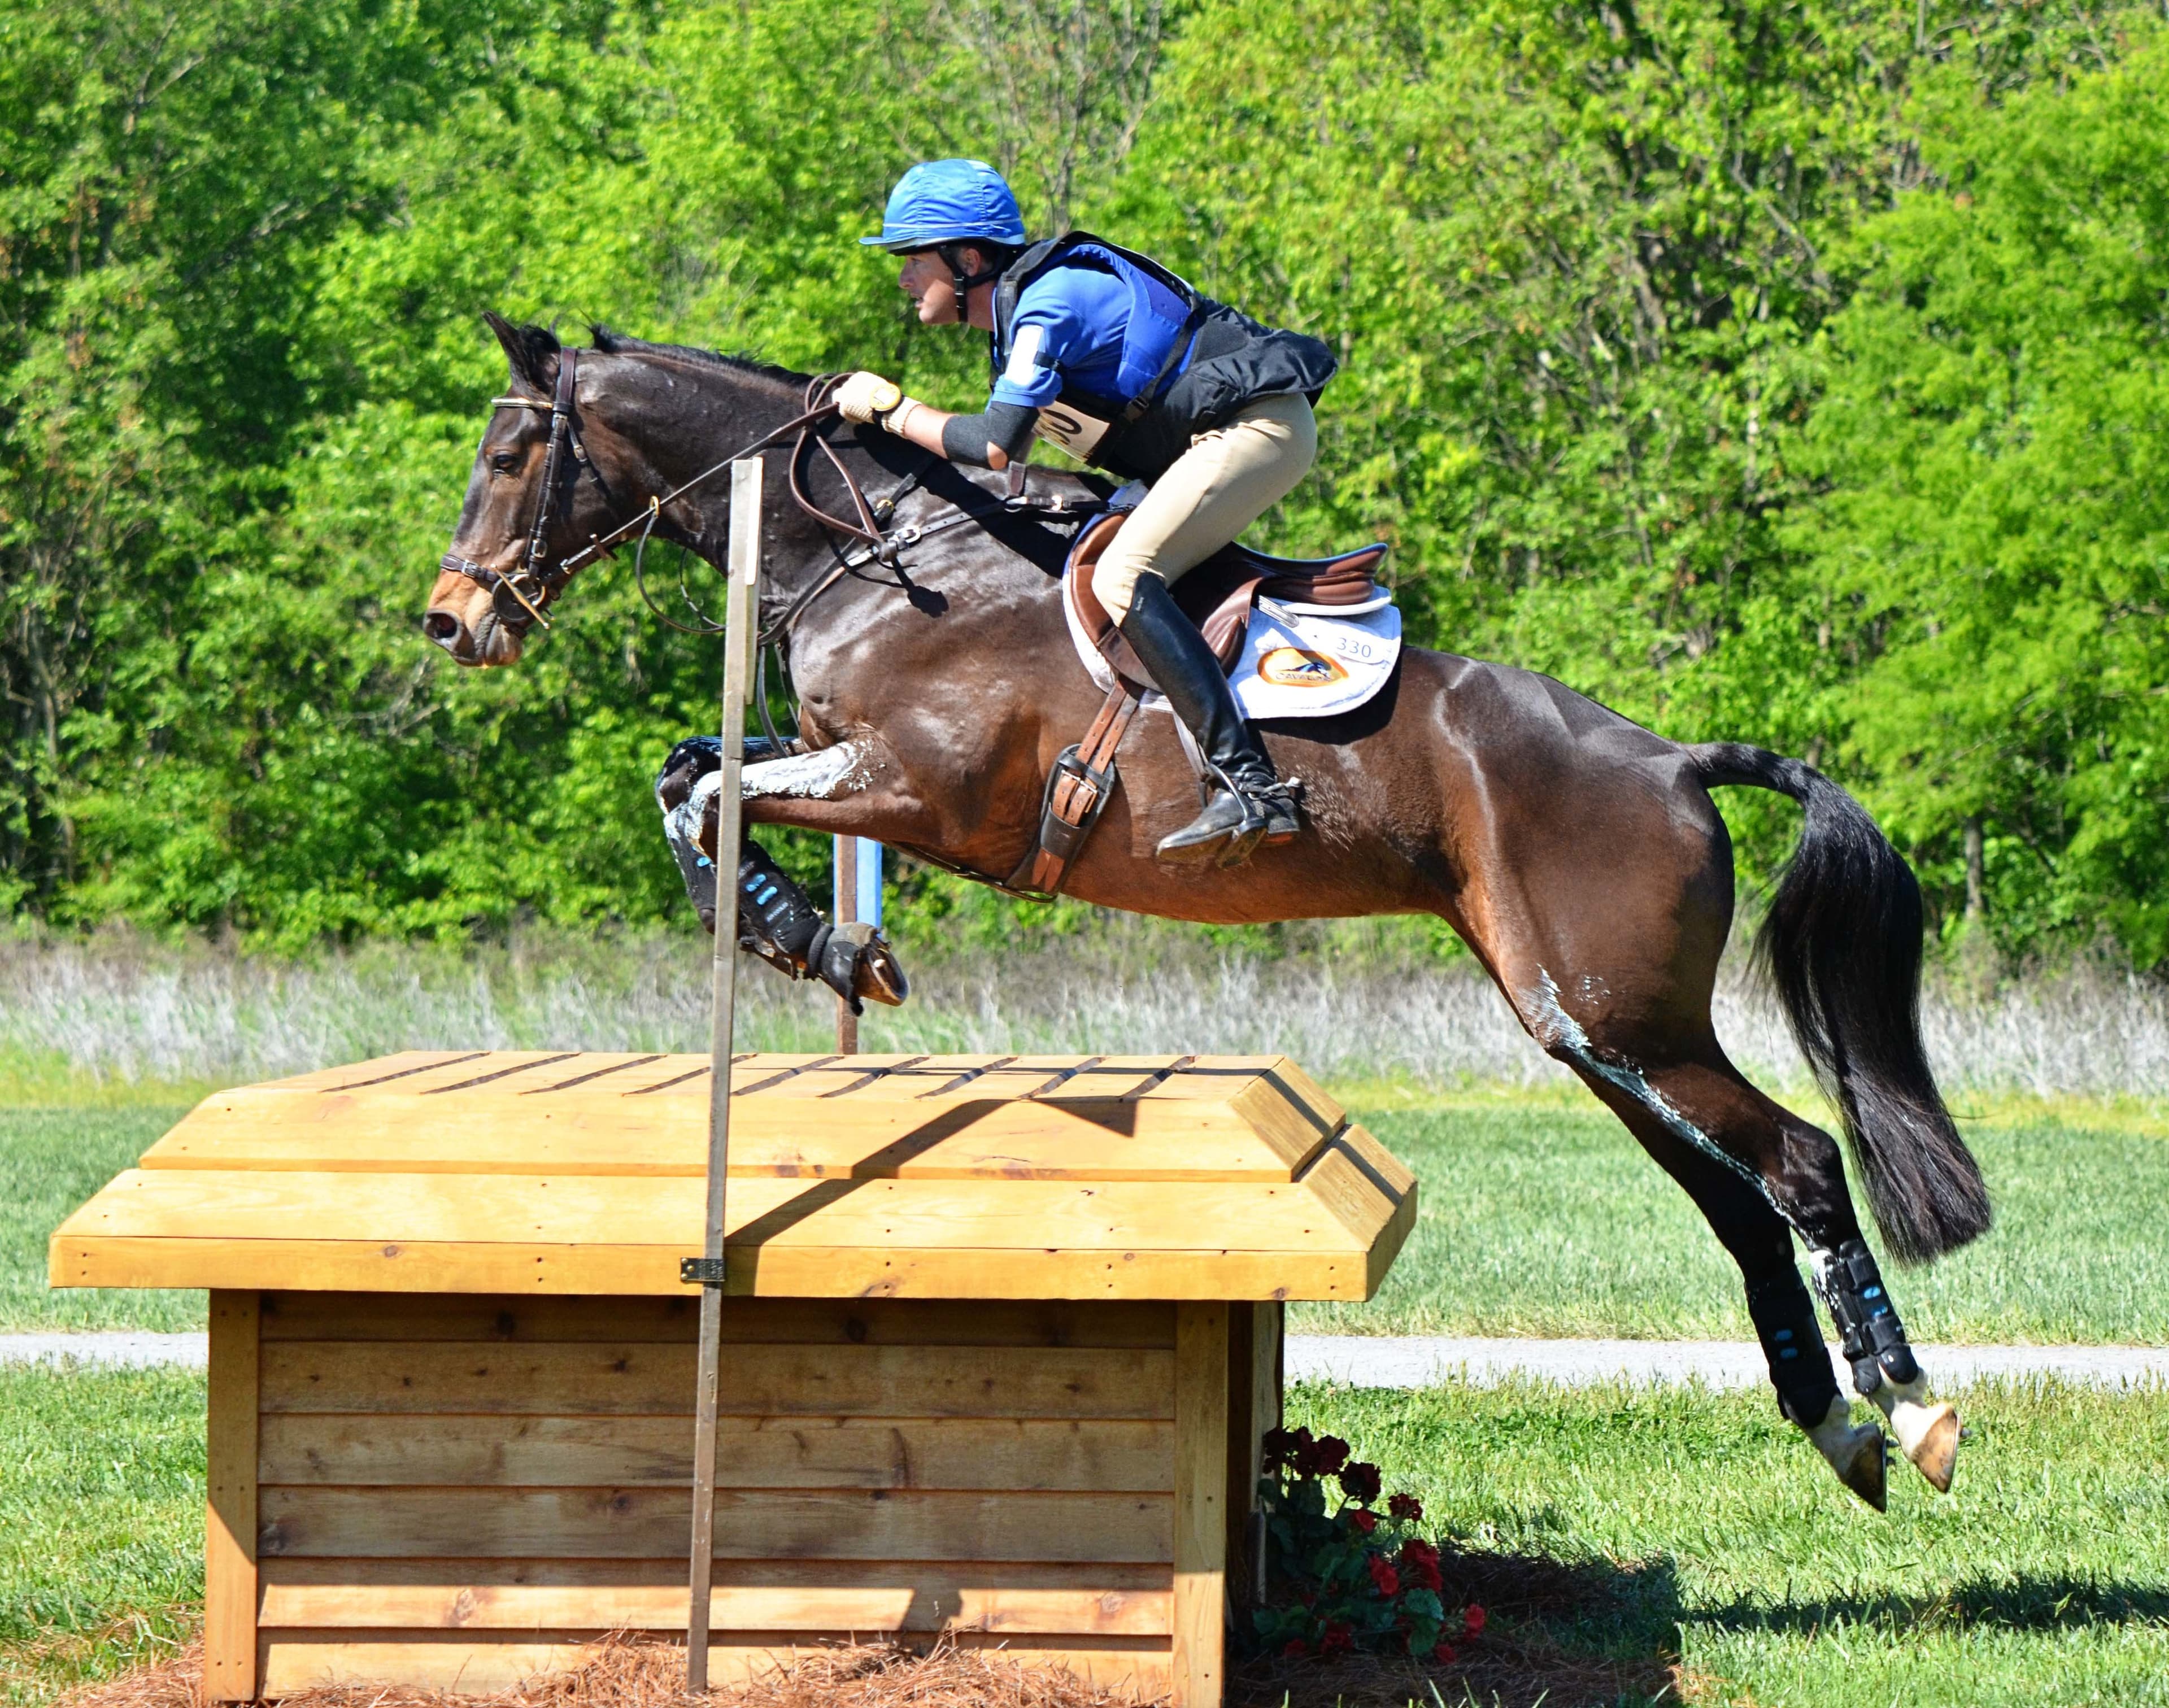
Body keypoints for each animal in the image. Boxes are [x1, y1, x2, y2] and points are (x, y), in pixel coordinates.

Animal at [426, 314, 1991, 1510]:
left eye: (508, 455)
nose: (453, 622)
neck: (880, 552)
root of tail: (1671, 758)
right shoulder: (841, 768)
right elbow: (689, 773)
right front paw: (818, 940)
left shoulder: (918, 793)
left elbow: (703, 792)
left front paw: (816, 939)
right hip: (1594, 1032)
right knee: (1739, 1207)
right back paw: (1840, 1427)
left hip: (1623, 1022)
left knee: (1799, 1167)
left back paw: (1910, 1404)